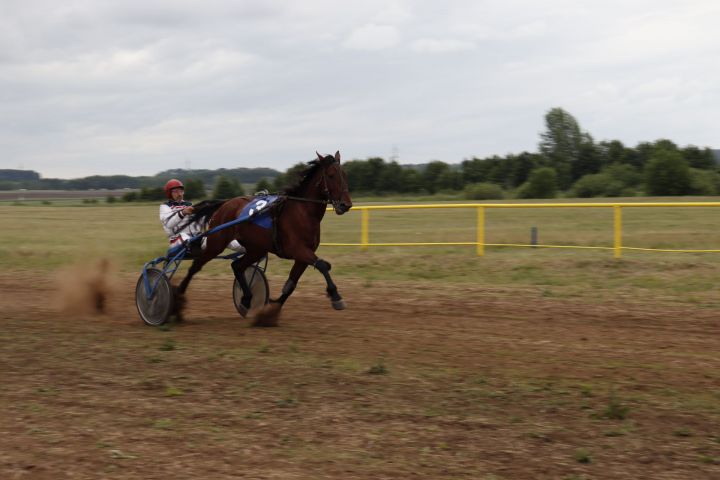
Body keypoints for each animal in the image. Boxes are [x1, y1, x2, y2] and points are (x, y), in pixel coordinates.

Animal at [176, 150, 352, 322]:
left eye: (344, 174)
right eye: (331, 175)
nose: (346, 205)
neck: (302, 212)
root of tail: (225, 203)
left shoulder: (303, 255)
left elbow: (291, 284)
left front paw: (270, 312)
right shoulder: (297, 249)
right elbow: (322, 265)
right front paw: (336, 296)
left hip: (256, 249)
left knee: (237, 266)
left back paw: (246, 299)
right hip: (216, 243)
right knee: (196, 265)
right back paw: (178, 299)